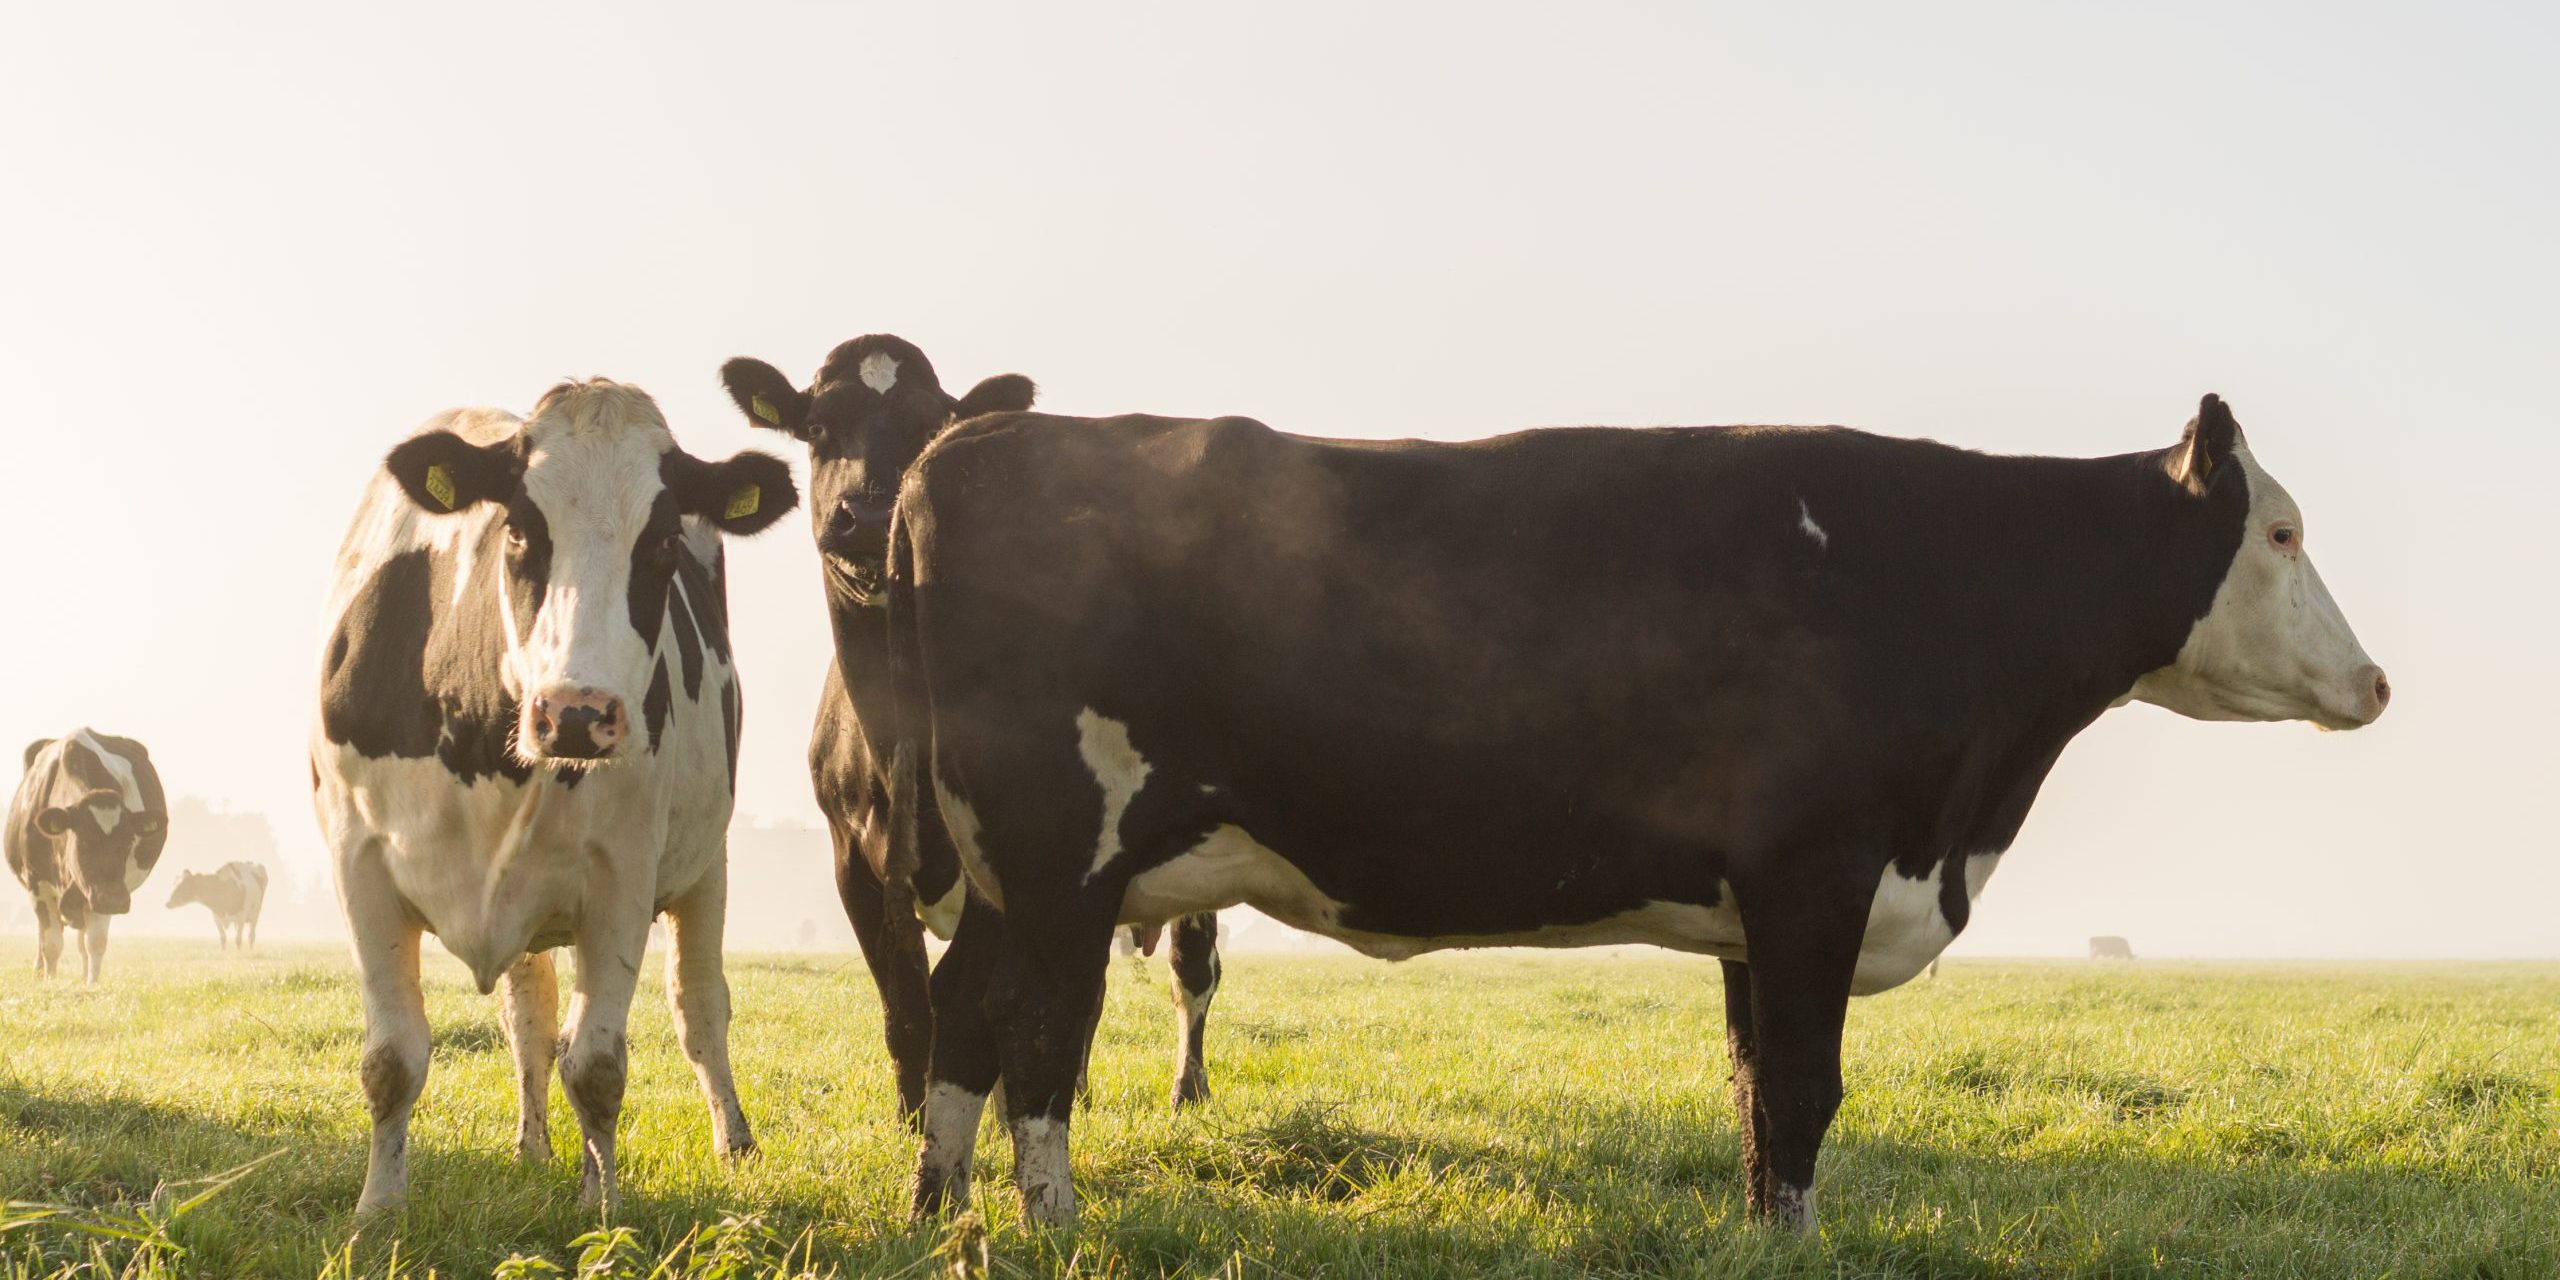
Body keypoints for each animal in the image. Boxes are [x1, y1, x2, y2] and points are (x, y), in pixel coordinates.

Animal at [7, 730, 168, 982]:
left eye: (128, 842)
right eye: (83, 842)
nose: (115, 901)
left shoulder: (101, 891)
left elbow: (95, 943)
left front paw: (92, 985)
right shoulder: (38, 885)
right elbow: (51, 944)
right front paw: (50, 982)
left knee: (83, 942)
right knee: (44, 935)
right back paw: (39, 969)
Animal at [311, 379, 796, 1213]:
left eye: (661, 542)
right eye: (517, 530)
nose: (576, 712)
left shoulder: (621, 880)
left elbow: (598, 1068)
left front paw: (603, 1213)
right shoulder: (358, 863)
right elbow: (392, 1058)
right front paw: (378, 1211)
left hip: (707, 865)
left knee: (699, 1005)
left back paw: (728, 1142)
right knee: (532, 1019)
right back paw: (533, 1148)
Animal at [719, 335, 1226, 1117]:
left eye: (930, 427)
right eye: (817, 428)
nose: (871, 517)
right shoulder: (852, 861)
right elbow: (907, 1010)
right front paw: (913, 1117)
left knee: (1191, 969)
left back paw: (1185, 1089)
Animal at [881, 393, 2388, 1231]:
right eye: (2282, 532)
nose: (2375, 682)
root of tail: (966, 440)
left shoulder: (1752, 910)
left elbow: (1754, 1097)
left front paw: (1764, 1235)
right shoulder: (1814, 873)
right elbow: (1803, 1091)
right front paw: (1792, 1241)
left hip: (1010, 871)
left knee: (961, 1017)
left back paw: (936, 1206)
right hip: (1059, 854)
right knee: (1036, 1032)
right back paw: (1050, 1220)